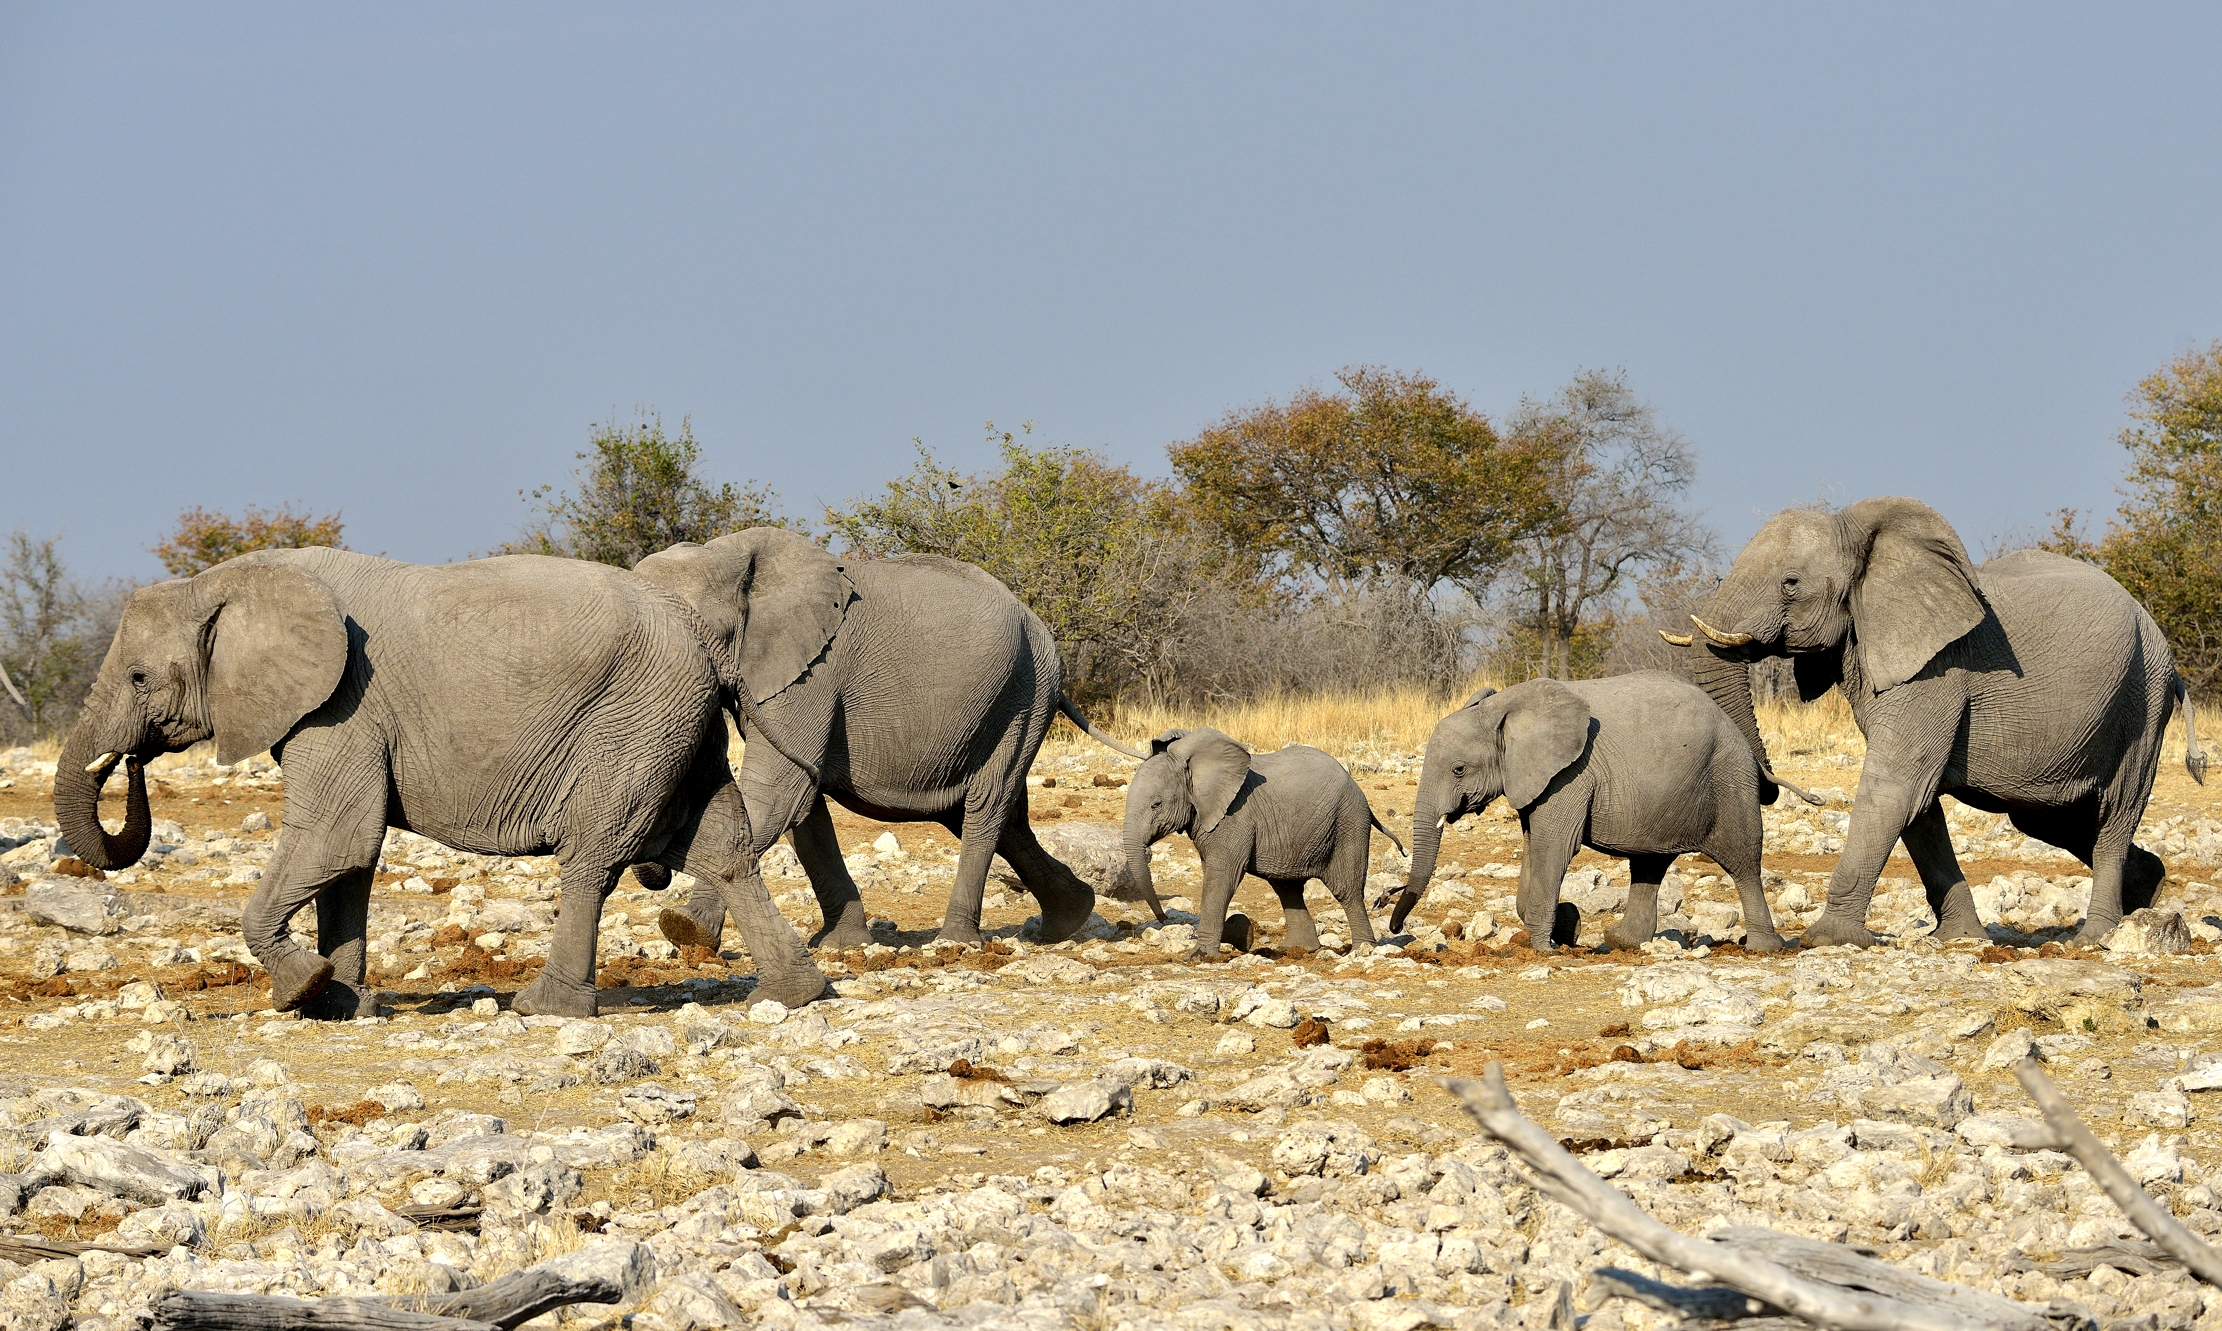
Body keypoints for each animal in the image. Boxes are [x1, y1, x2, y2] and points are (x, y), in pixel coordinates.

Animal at [54, 548, 835, 1022]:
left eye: (138, 677)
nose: (129, 759)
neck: (225, 581)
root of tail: (704, 638)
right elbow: (351, 860)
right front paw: (344, 1005)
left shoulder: (342, 706)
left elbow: (338, 836)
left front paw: (303, 987)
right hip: (679, 725)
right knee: (723, 847)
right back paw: (793, 994)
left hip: (633, 722)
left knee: (594, 854)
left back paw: (543, 1007)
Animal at [631, 526, 1137, 951]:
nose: (655, 871)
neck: (725, 555)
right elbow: (804, 807)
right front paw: (842, 946)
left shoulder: (814, 674)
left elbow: (779, 793)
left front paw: (683, 930)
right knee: (997, 818)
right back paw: (1070, 919)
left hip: (1025, 696)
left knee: (985, 809)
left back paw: (956, 942)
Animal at [1111, 728, 1404, 959]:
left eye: (1156, 804)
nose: (1165, 919)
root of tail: (1357, 788)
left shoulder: (1234, 815)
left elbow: (1222, 878)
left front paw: (1198, 956)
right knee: (1287, 888)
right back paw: (1297, 949)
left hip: (1348, 822)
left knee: (1346, 889)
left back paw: (1362, 950)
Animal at [1386, 684, 1786, 951]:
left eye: (1458, 769)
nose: (1393, 928)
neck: (1504, 707)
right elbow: (1534, 847)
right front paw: (1568, 926)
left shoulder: (1571, 774)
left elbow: (1555, 847)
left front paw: (1545, 947)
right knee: (1649, 865)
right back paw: (1621, 942)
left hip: (1728, 778)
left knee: (1742, 860)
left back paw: (1762, 948)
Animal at [1670, 497, 2195, 946]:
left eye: (1791, 583)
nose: (1779, 788)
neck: (1861, 536)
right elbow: (1919, 805)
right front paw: (1959, 938)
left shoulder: (1937, 670)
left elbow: (1895, 786)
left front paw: (1826, 939)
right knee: (2048, 816)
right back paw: (2148, 893)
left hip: (2142, 703)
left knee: (2114, 814)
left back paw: (2097, 937)